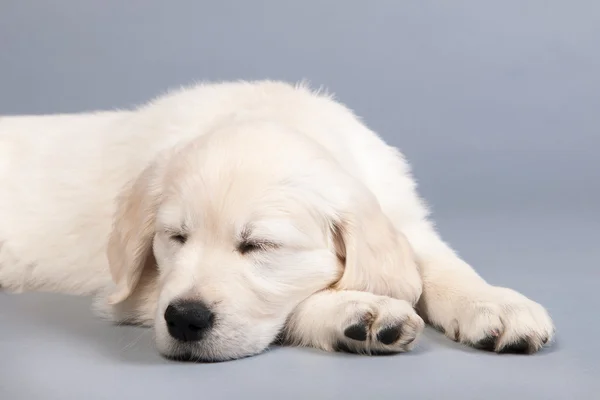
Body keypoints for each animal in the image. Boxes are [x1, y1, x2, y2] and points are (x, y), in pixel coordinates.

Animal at [0, 79, 552, 360]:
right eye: (176, 238)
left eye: (260, 246)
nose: (184, 320)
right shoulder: (141, 295)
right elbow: (299, 305)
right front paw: (361, 312)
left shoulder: (400, 212)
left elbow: (440, 265)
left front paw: (496, 304)